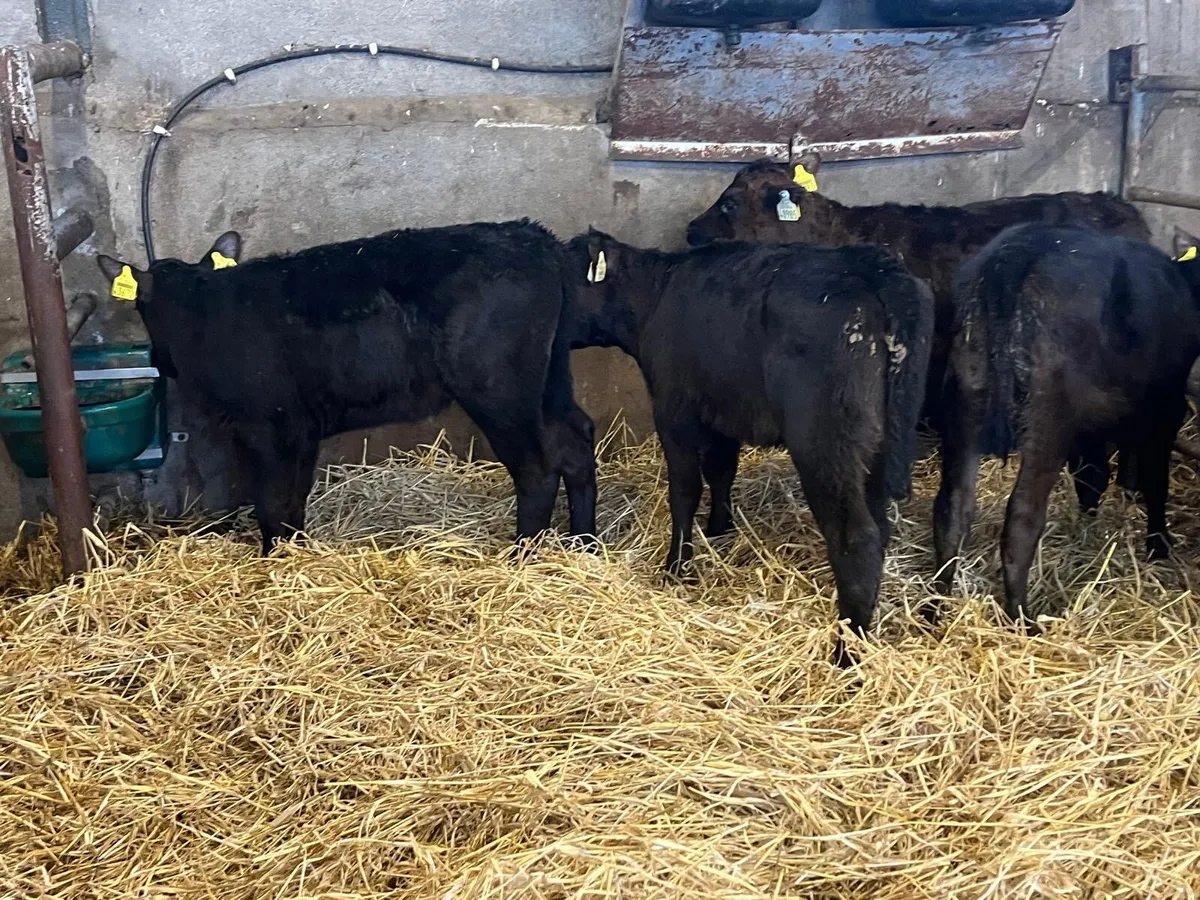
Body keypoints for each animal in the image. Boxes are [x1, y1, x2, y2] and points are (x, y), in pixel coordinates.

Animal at [97, 221, 598, 554]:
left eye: (142, 307)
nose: (158, 359)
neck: (201, 310)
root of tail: (535, 238)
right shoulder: (300, 428)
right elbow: (293, 498)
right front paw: (294, 552)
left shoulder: (267, 424)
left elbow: (271, 501)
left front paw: (272, 558)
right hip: (550, 381)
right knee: (575, 441)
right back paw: (585, 542)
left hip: (499, 390)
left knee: (537, 468)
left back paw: (521, 556)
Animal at [566, 229, 934, 665]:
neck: (657, 294)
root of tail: (875, 268)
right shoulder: (723, 415)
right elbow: (722, 473)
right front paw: (719, 532)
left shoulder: (674, 413)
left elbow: (684, 491)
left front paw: (675, 567)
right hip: (876, 448)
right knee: (879, 528)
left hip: (827, 445)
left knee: (857, 539)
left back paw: (846, 652)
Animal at [930, 224, 1200, 629]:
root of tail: (1018, 252)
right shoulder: (1167, 404)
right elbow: (1156, 481)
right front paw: (1158, 543)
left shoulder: (1092, 426)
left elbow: (1092, 475)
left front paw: (1087, 526)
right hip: (1048, 413)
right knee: (1022, 517)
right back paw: (1022, 618)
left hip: (966, 395)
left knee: (952, 508)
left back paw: (935, 609)